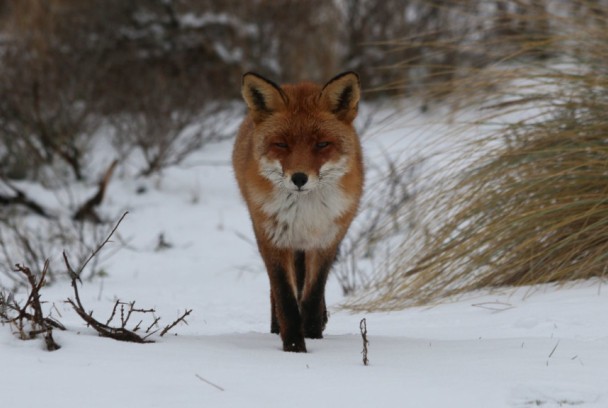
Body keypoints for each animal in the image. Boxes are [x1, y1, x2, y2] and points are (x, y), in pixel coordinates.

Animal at [232, 71, 366, 352]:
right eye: (282, 144)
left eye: (322, 144)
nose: (299, 178)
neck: (305, 213)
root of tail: (298, 84)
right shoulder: (272, 239)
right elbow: (285, 296)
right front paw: (294, 346)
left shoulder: (327, 239)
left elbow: (313, 294)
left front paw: (312, 334)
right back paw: (275, 328)